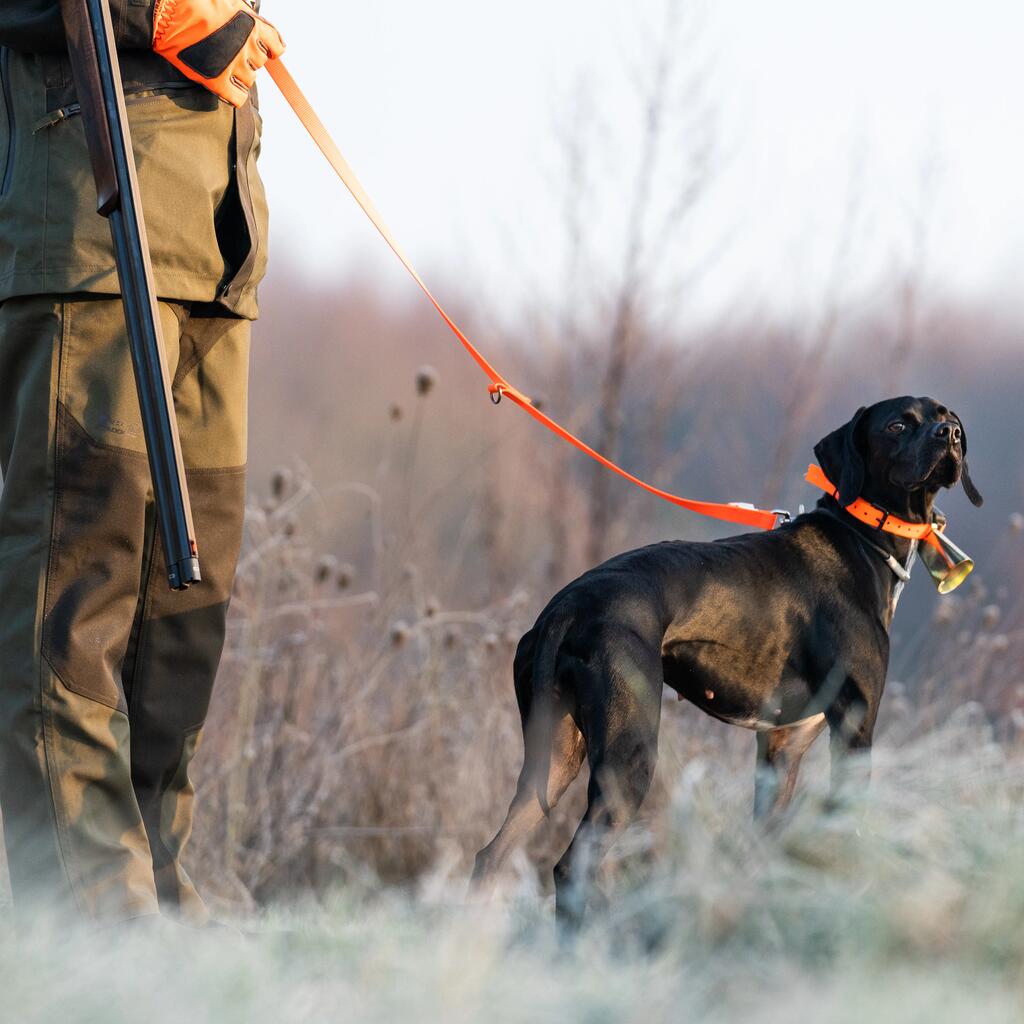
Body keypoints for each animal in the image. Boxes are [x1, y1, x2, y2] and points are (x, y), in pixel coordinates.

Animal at [473, 395, 983, 925]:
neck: (863, 539)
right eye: (898, 424)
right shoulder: (855, 730)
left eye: (948, 419)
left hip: (553, 763)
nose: (949, 436)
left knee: (490, 855)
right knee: (572, 867)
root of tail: (566, 607)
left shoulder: (781, 751)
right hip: (628, 761)